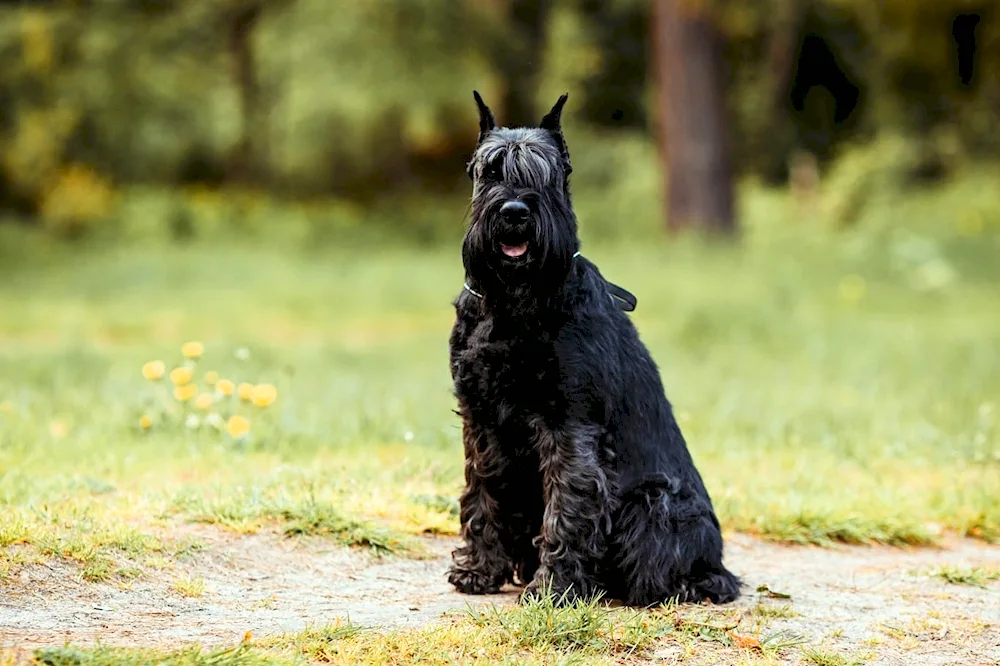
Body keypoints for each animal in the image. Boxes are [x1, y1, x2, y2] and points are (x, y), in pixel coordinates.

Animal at [450, 91, 740, 604]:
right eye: (490, 170)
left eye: (546, 173)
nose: (514, 212)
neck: (514, 301)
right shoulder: (480, 420)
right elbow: (483, 493)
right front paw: (479, 570)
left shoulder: (570, 424)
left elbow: (567, 507)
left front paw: (552, 588)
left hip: (654, 503)